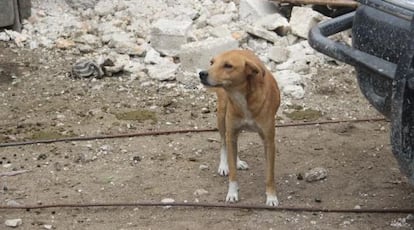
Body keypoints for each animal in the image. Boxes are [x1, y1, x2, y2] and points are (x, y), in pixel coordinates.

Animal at [198, 49, 282, 206]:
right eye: (212, 62)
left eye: (228, 66)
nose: (202, 73)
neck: (241, 97)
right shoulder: (231, 130)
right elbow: (233, 172)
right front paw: (232, 193)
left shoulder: (269, 141)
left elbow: (270, 174)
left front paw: (271, 197)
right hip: (222, 118)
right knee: (224, 141)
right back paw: (224, 165)